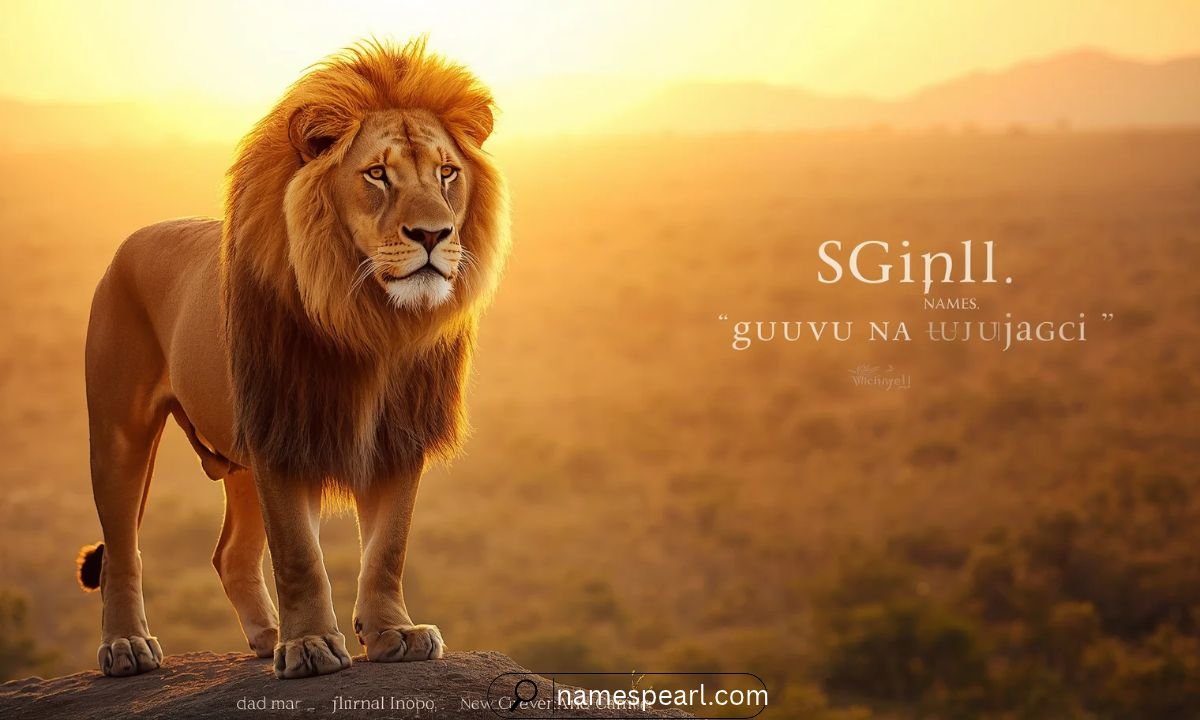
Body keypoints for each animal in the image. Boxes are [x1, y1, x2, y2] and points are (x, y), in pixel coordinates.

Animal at [74, 39, 509, 679]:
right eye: (377, 174)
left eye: (447, 173)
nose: (434, 234)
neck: (371, 318)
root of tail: (130, 242)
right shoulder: (284, 427)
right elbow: (300, 555)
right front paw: (309, 646)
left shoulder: (397, 435)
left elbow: (388, 547)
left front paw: (393, 633)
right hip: (118, 433)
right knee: (122, 550)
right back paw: (128, 646)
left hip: (239, 459)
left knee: (231, 553)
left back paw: (266, 636)